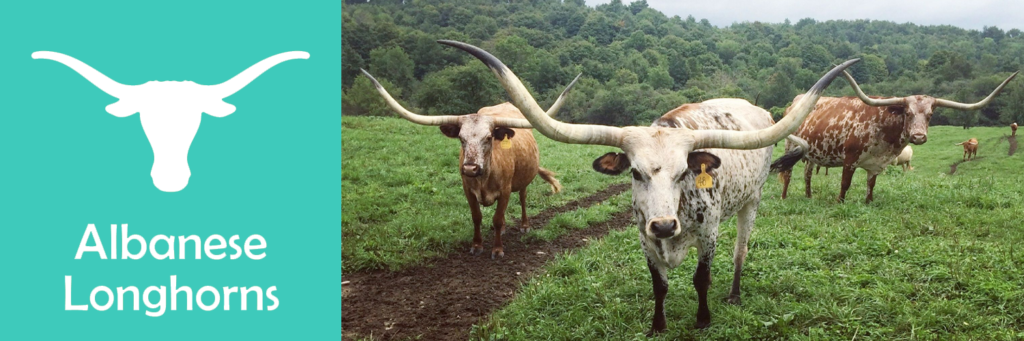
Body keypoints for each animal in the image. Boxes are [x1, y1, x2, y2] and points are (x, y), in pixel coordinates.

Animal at [360, 69, 565, 258]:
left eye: (489, 137)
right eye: (461, 138)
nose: (470, 168)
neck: (484, 178)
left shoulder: (505, 190)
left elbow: (497, 218)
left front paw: (497, 249)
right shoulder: (468, 190)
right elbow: (477, 217)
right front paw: (477, 245)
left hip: (523, 181)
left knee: (522, 198)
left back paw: (524, 225)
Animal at [444, 37, 860, 331]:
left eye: (684, 173)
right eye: (634, 173)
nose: (663, 225)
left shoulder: (708, 233)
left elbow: (701, 278)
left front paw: (703, 319)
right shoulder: (643, 237)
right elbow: (658, 285)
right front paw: (657, 325)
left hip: (751, 201)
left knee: (741, 252)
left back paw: (734, 294)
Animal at [774, 69, 1015, 201]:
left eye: (930, 115)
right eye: (907, 112)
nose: (918, 137)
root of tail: (796, 102)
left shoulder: (877, 163)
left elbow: (871, 185)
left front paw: (868, 202)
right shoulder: (850, 159)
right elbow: (845, 184)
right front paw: (839, 202)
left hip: (812, 153)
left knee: (807, 174)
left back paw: (808, 195)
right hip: (790, 146)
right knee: (787, 174)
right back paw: (784, 196)